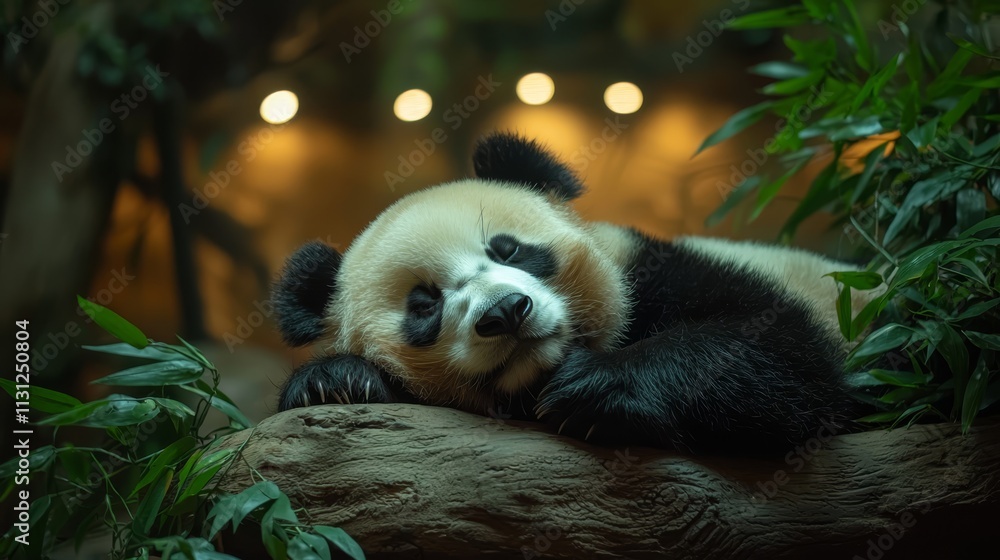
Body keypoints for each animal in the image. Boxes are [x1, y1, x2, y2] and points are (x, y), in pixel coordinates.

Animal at [272, 132, 871, 451]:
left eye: (508, 250)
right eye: (424, 305)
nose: (506, 311)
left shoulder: (656, 268)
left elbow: (781, 353)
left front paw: (595, 388)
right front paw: (335, 383)